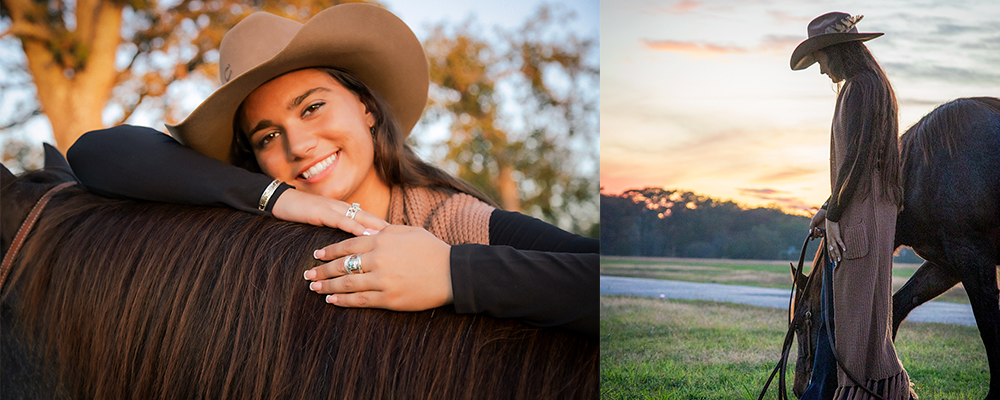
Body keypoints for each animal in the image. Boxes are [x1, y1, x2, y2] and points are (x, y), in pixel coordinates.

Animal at [788, 97, 1000, 400]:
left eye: (801, 321)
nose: (798, 388)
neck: (926, 171)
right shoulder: (948, 264)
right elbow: (898, 306)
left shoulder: (972, 256)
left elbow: (988, 323)